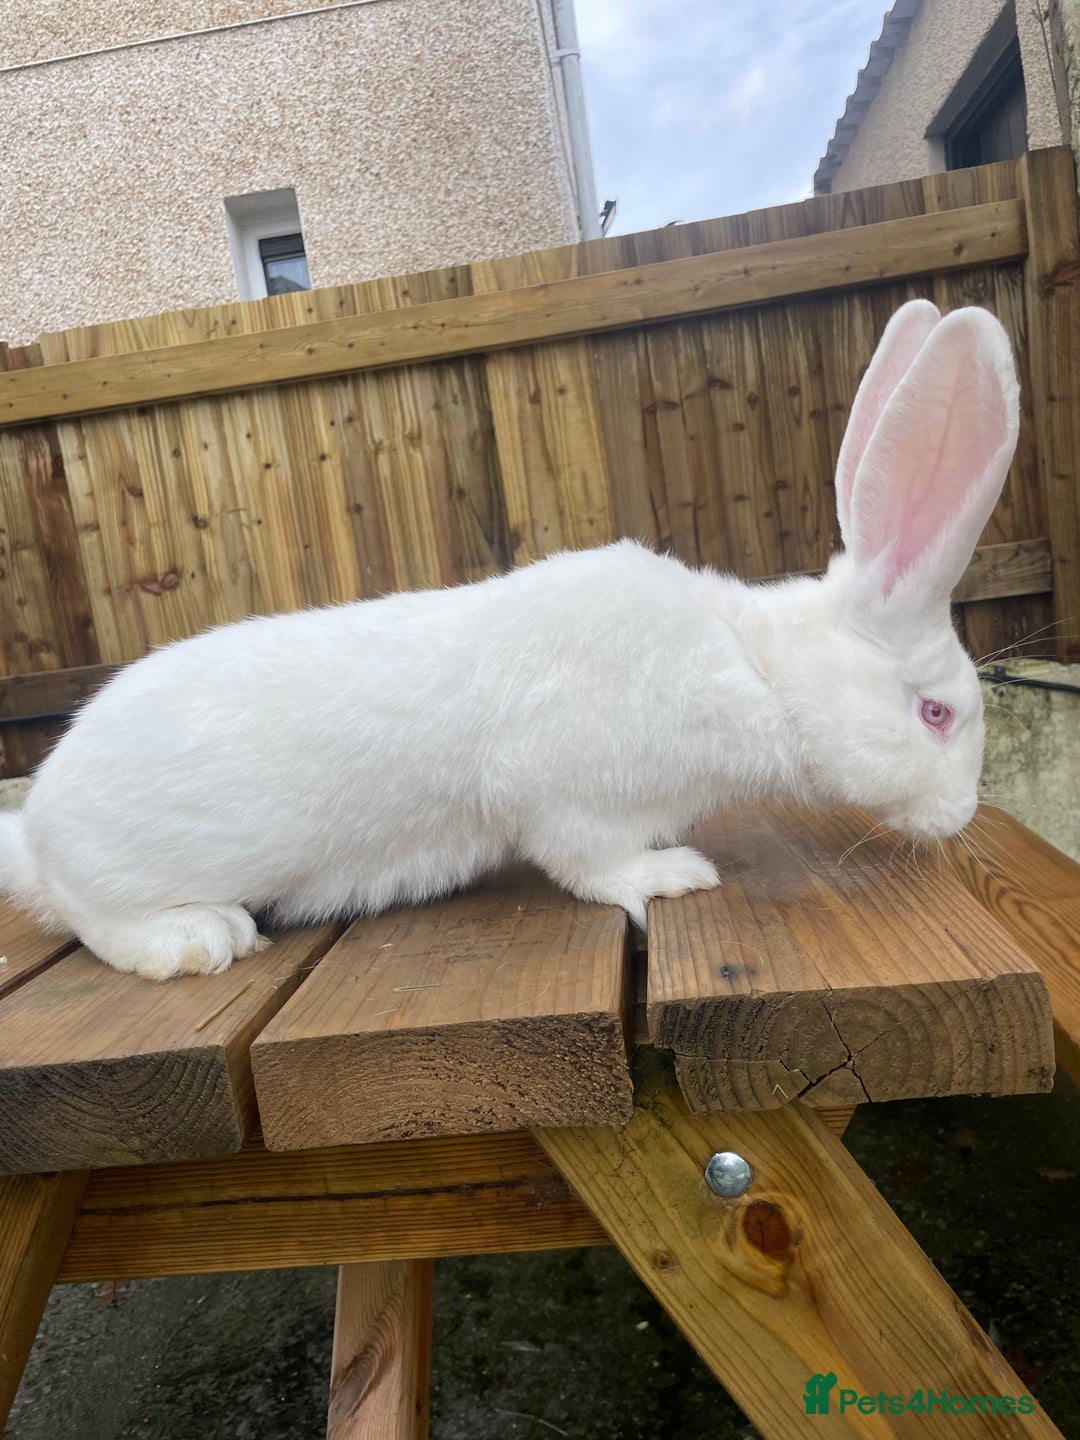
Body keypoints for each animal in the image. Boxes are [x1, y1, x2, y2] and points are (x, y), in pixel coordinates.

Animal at [0, 299, 1019, 979]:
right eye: (936, 714)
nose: (960, 819)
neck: (755, 670)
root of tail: (37, 823)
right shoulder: (558, 791)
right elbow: (590, 864)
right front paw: (674, 875)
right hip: (123, 873)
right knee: (88, 916)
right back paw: (197, 939)